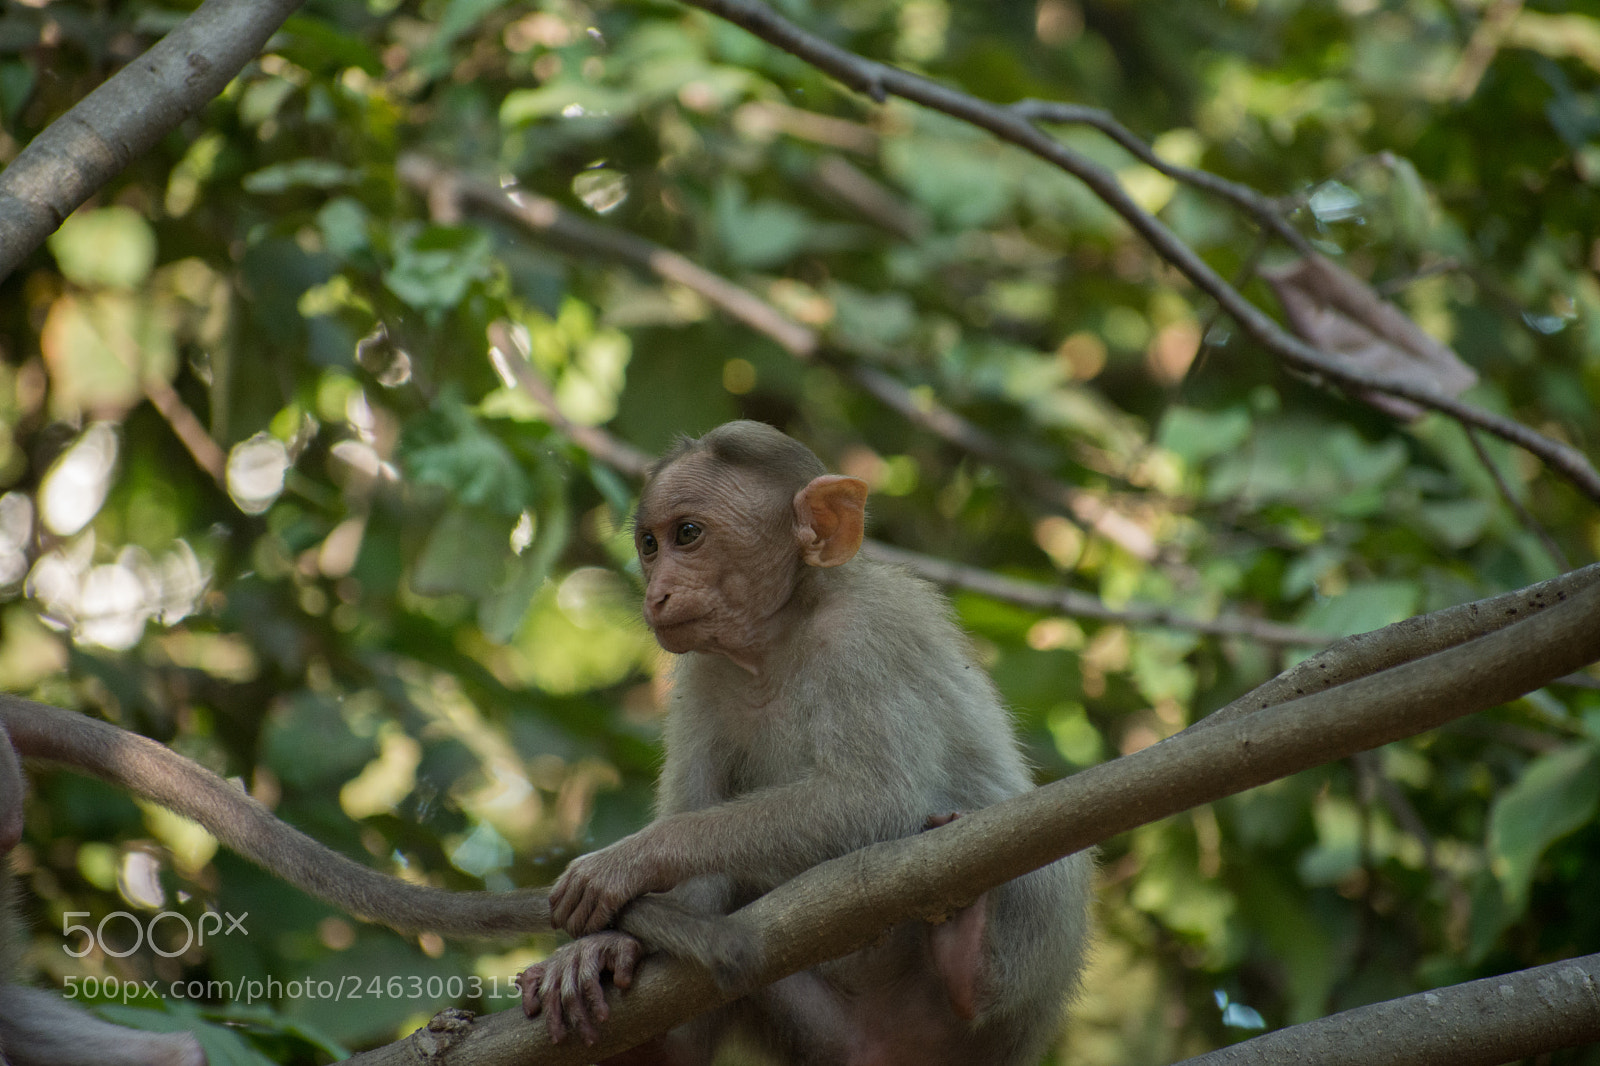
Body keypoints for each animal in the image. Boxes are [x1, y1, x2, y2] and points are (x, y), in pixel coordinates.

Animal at [518, 421, 1095, 1065]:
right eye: (649, 544)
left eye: (687, 535)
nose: (657, 593)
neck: (779, 635)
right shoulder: (702, 674)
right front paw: (604, 947)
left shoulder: (862, 634)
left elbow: (876, 801)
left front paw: (631, 860)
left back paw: (965, 956)